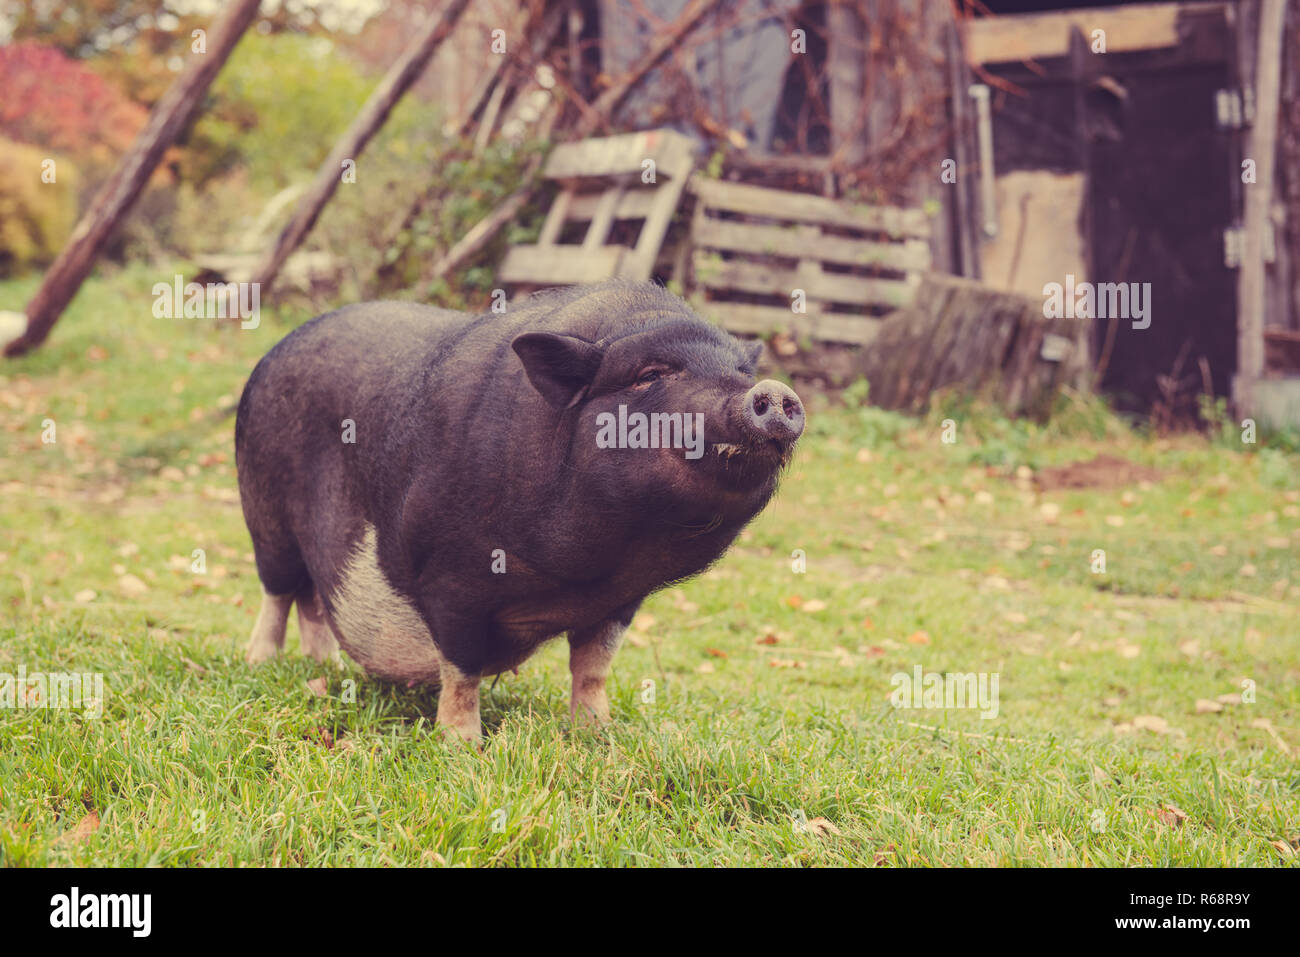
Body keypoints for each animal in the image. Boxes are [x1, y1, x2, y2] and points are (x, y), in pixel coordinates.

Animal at [234, 280, 804, 741]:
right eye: (649, 373)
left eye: (740, 371)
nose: (774, 392)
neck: (582, 575)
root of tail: (272, 353)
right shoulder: (450, 579)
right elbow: (461, 668)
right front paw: (463, 745)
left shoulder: (621, 602)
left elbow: (593, 667)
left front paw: (598, 735)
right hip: (264, 514)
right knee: (277, 591)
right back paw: (260, 663)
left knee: (312, 600)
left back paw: (324, 666)